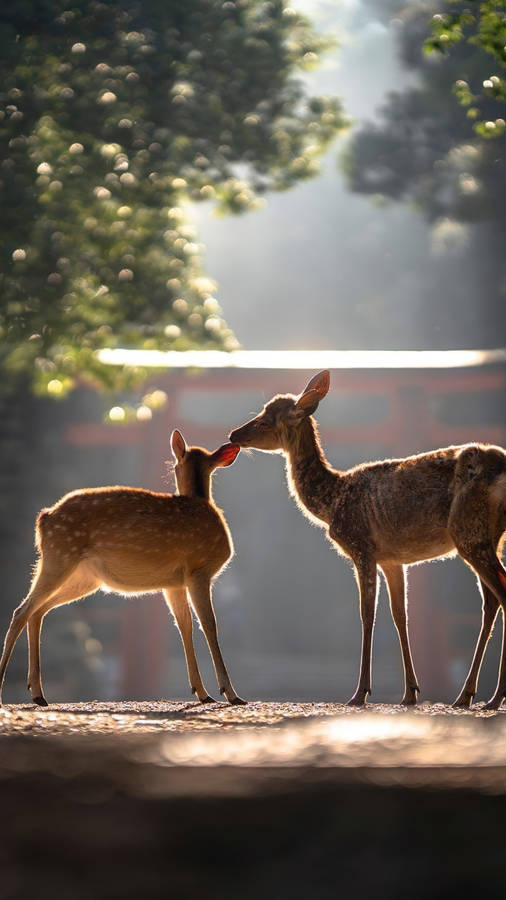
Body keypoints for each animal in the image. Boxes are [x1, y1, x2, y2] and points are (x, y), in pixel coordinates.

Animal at [0, 430, 246, 707]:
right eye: (175, 464)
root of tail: (44, 519)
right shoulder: (199, 570)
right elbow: (209, 624)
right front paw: (231, 694)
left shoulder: (173, 583)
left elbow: (184, 625)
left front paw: (202, 693)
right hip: (60, 557)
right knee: (22, 610)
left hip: (82, 576)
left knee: (37, 611)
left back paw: (38, 694)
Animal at [230, 370, 506, 710]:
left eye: (266, 420)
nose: (233, 434)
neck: (333, 500)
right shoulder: (392, 559)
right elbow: (400, 615)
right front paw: (410, 693)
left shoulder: (361, 547)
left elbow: (367, 614)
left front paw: (360, 693)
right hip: (489, 535)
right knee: (491, 600)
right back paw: (466, 696)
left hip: (468, 531)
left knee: (501, 594)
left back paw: (494, 697)